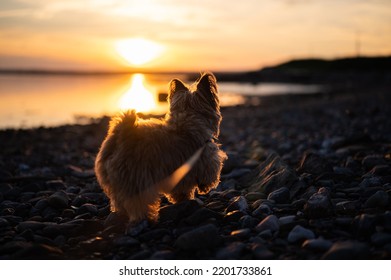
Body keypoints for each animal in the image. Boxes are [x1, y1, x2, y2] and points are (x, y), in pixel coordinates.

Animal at [94, 73, 227, 222]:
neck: (188, 118)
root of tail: (121, 135)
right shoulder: (204, 159)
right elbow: (207, 175)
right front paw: (202, 189)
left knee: (120, 201)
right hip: (138, 180)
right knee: (137, 203)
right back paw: (147, 217)